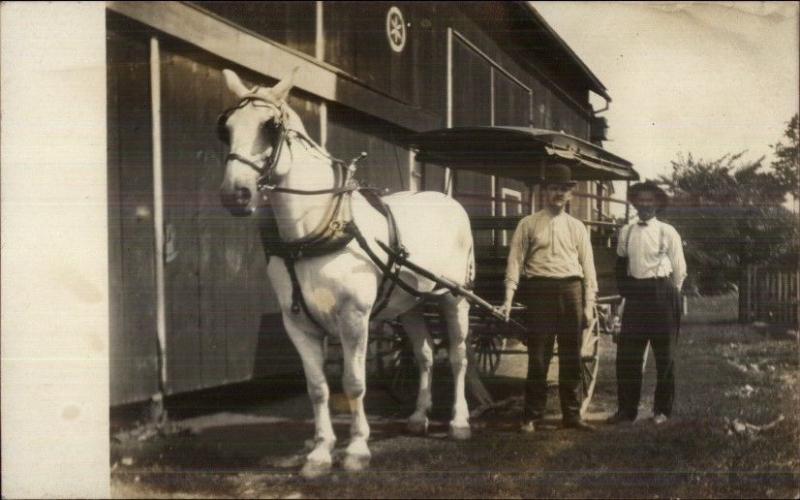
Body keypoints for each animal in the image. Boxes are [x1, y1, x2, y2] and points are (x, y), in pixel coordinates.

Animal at [219, 68, 472, 474]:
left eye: (270, 126)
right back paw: (418, 416)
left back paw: (459, 422)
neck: (314, 230)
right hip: (411, 304)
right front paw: (321, 451)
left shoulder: (354, 317)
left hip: (453, 297)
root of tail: (447, 200)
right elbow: (318, 388)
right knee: (425, 355)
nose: (235, 194)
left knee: (460, 355)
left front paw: (356, 448)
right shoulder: (298, 323)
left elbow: (353, 383)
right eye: (225, 127)